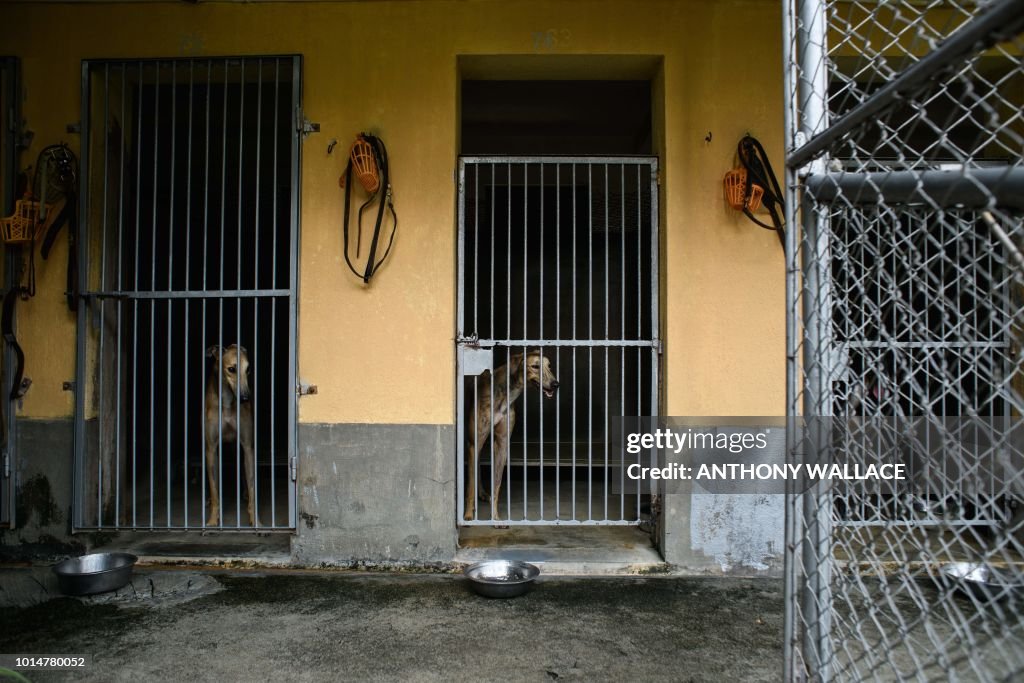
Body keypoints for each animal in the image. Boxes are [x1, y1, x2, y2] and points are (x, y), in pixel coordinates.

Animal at [204, 342, 256, 528]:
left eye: (248, 369)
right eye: (232, 369)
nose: (246, 398)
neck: (227, 402)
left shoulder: (247, 446)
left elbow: (252, 486)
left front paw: (256, 520)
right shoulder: (211, 449)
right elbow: (214, 487)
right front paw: (213, 520)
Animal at [466, 352, 561, 524]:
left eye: (549, 366)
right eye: (535, 366)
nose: (555, 384)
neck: (504, 393)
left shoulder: (502, 444)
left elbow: (496, 485)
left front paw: (495, 518)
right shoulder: (473, 442)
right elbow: (469, 486)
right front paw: (468, 516)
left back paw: (482, 493)